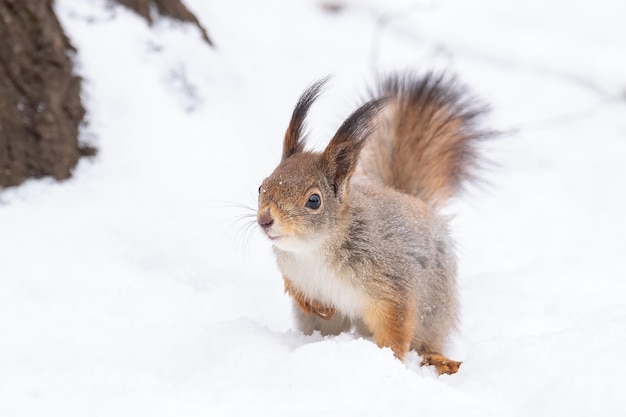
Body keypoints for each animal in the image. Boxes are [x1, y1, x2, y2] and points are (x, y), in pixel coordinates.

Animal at [255, 71, 488, 374]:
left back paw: (438, 359)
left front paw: (390, 360)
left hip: (433, 311)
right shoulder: (293, 271)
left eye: (314, 200)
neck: (315, 249)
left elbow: (395, 326)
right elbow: (297, 291)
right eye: (261, 186)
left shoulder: (390, 283)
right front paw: (317, 305)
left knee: (428, 341)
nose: (264, 219)